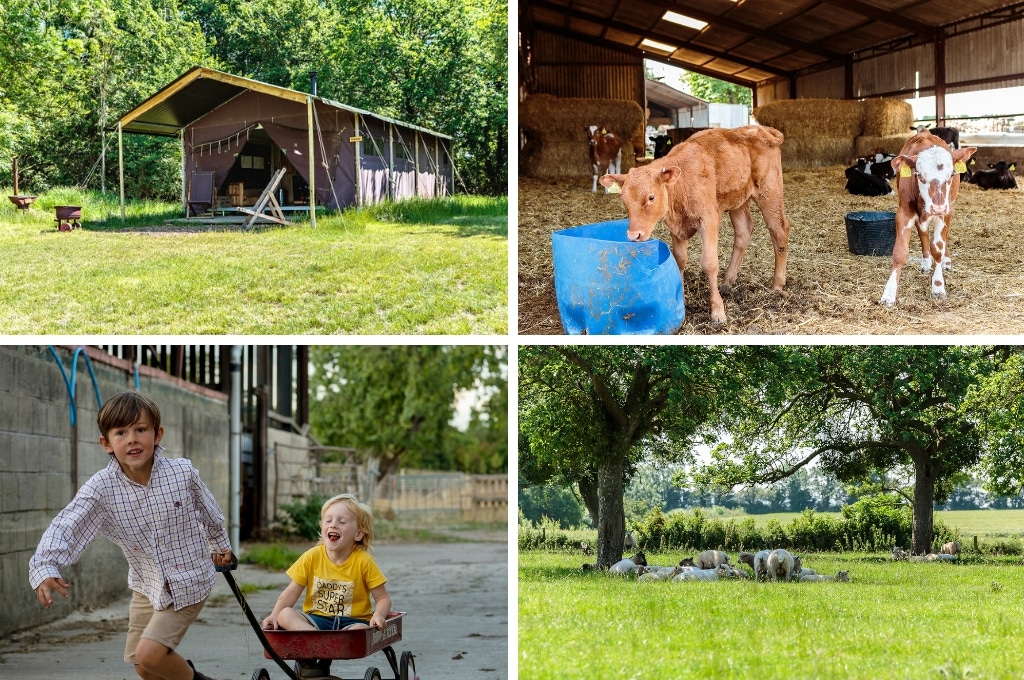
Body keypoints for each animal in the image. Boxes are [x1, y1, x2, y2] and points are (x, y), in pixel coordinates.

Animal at [598, 125, 790, 323]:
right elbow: (680, 260)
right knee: (744, 232)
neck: (681, 183)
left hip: (769, 193)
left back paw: (777, 283)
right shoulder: (675, 227)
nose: (634, 235)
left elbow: (709, 263)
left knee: (779, 230)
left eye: (651, 197)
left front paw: (717, 310)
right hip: (737, 199)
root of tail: (759, 128)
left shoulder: (709, 219)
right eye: (624, 200)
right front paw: (680, 299)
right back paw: (727, 282)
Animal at [880, 130, 974, 305]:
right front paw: (889, 293)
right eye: (919, 176)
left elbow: (937, 247)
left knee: (943, 239)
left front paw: (938, 286)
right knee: (923, 232)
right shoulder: (904, 212)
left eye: (951, 174)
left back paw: (946, 261)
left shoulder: (946, 212)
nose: (938, 207)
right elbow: (900, 252)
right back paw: (925, 262)